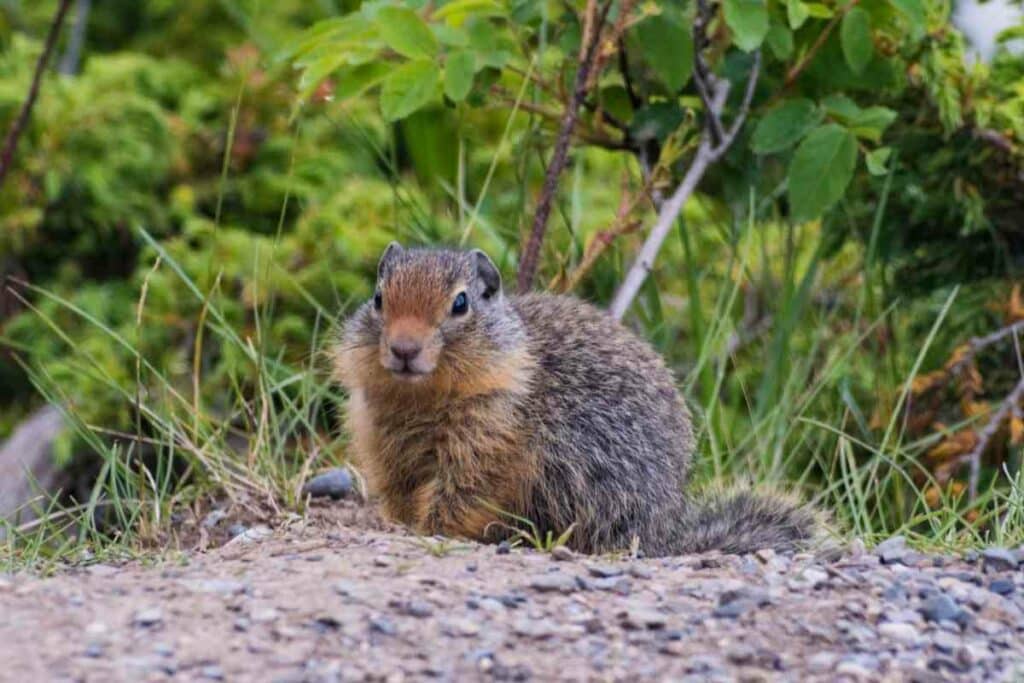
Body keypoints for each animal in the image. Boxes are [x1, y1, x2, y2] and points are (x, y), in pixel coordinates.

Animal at [333, 242, 815, 557]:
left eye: (461, 303)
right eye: (378, 298)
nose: (404, 349)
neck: (422, 401)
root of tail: (667, 532)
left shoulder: (488, 440)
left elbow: (463, 494)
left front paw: (429, 530)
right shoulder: (385, 444)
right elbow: (401, 490)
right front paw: (400, 524)